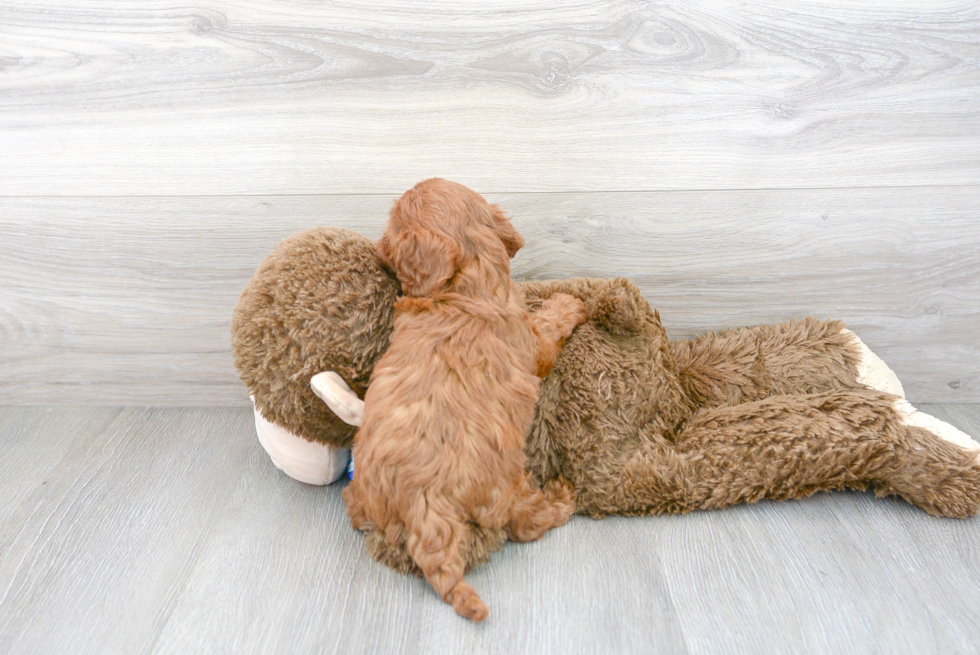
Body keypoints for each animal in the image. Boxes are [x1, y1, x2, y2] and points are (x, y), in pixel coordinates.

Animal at [344, 178, 584, 620]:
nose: (378, 246)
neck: (465, 289)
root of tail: (424, 504)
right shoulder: (534, 343)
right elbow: (547, 325)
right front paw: (568, 303)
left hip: (371, 494)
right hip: (508, 487)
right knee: (528, 523)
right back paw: (561, 496)